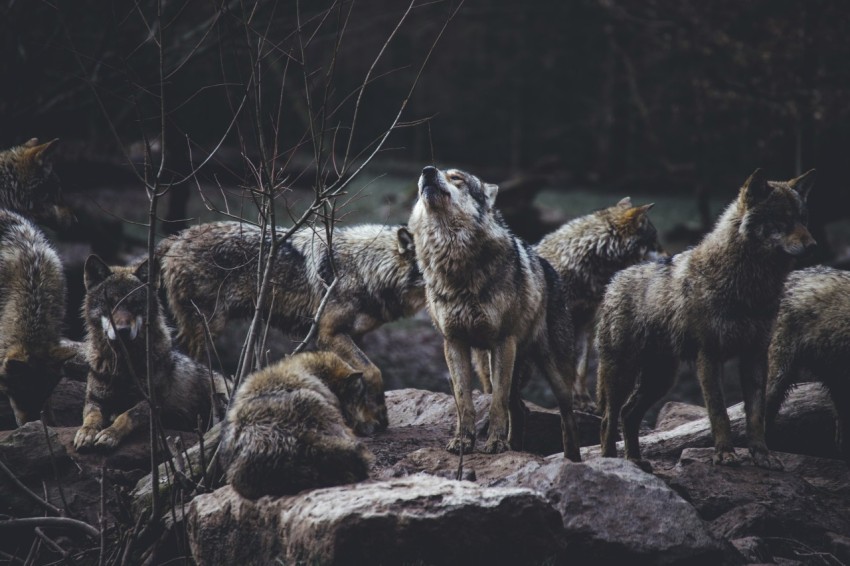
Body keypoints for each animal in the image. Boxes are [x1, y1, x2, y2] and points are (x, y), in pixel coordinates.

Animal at [73, 255, 229, 451]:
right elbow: (91, 417)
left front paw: (109, 434)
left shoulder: (152, 404)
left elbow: (125, 416)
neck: (124, 365)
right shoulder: (94, 400)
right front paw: (86, 433)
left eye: (135, 304)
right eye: (111, 303)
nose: (122, 330)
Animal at [157, 222, 425, 434]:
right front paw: (379, 416)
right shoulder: (329, 333)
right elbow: (373, 371)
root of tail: (177, 237)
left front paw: (369, 418)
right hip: (207, 329)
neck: (365, 268)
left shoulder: (354, 336)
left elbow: (360, 377)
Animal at [408, 165, 580, 460]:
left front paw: (496, 444)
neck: (454, 262)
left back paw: (572, 459)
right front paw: (463, 442)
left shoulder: (502, 342)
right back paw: (516, 447)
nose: (427, 171)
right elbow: (464, 401)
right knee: (520, 409)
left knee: (566, 417)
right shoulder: (454, 343)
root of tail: (549, 267)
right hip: (492, 364)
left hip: (552, 371)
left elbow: (496, 403)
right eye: (431, 172)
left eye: (457, 177)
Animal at [596, 169, 816, 470]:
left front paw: (762, 455)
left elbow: (756, 415)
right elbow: (719, 412)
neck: (749, 285)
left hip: (661, 379)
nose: (813, 245)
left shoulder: (755, 356)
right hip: (623, 374)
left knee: (629, 413)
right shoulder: (709, 356)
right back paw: (612, 462)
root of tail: (614, 279)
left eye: (803, 219)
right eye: (782, 218)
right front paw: (724, 455)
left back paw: (636, 461)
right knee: (609, 417)